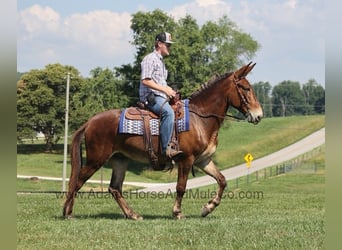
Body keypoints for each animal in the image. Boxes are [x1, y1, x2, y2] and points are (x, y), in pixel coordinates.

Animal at [62, 61, 264, 220]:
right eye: (245, 88)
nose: (259, 115)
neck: (200, 118)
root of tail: (90, 122)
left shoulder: (203, 160)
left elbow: (222, 180)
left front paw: (207, 208)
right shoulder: (186, 159)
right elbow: (181, 187)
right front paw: (177, 212)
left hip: (119, 159)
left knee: (115, 188)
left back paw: (133, 215)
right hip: (96, 159)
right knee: (78, 181)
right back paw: (68, 212)